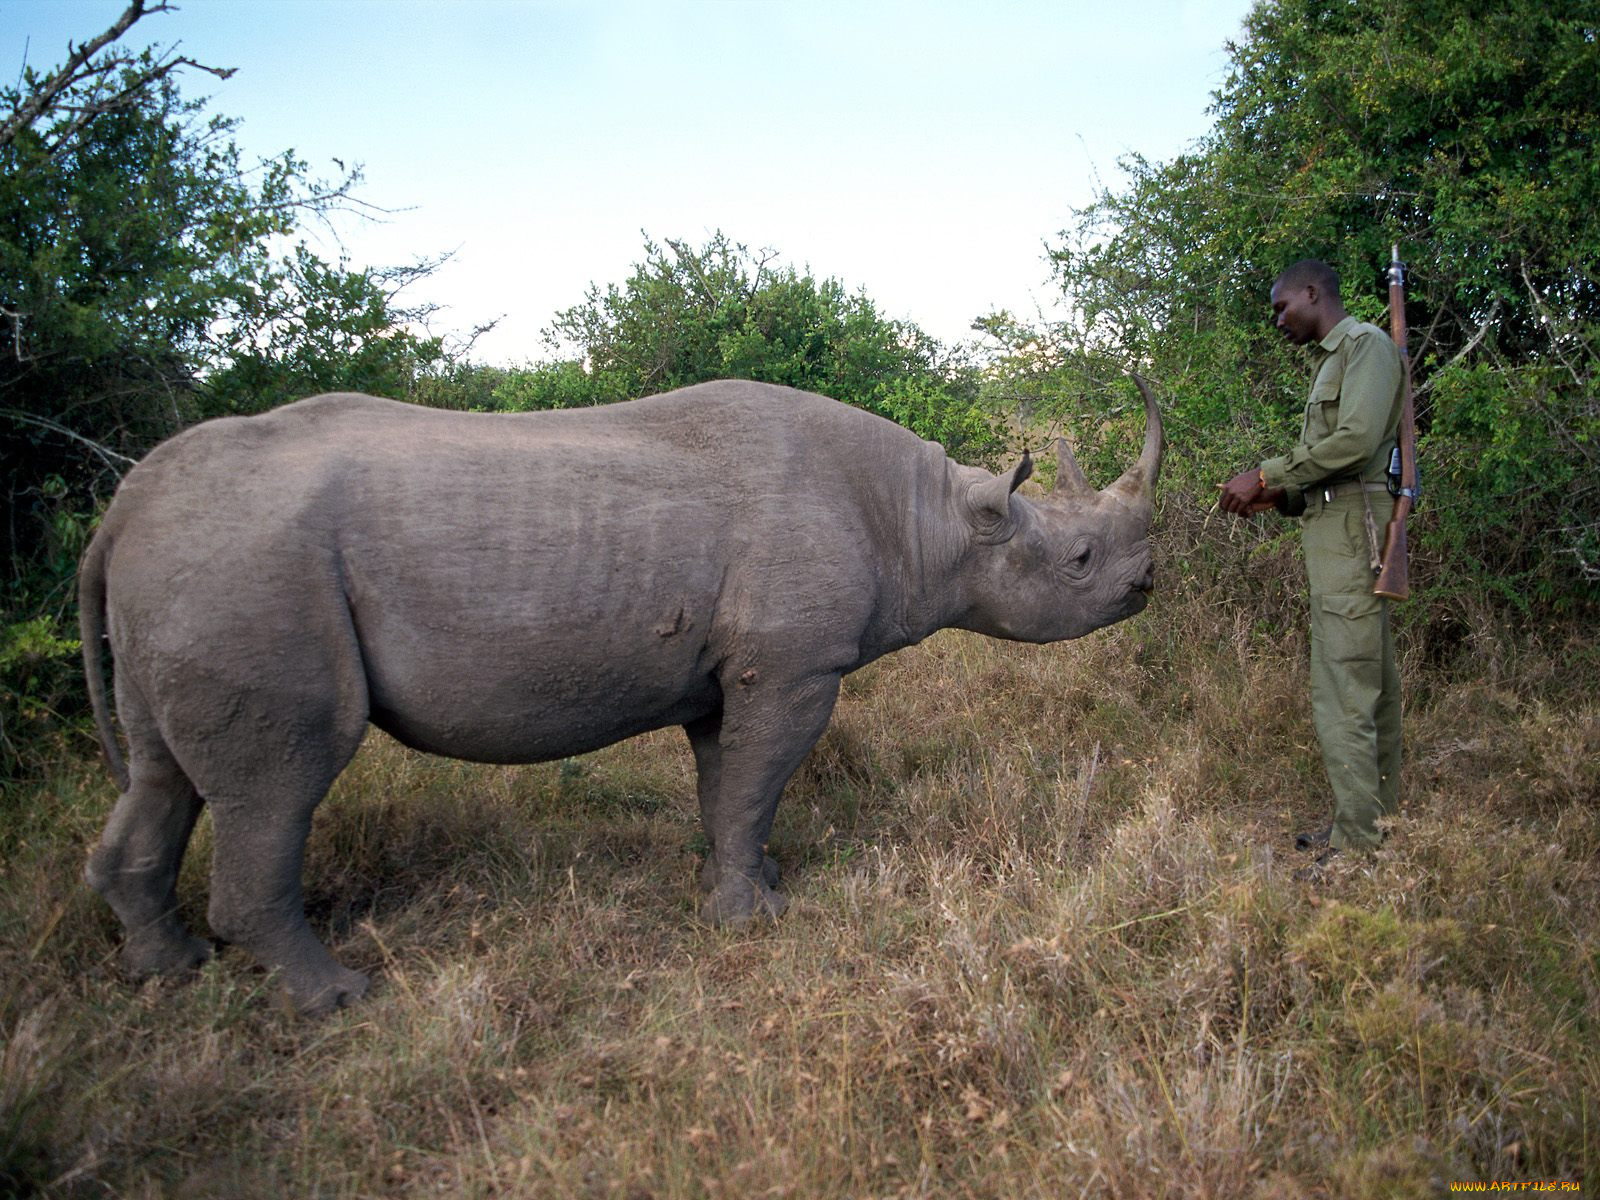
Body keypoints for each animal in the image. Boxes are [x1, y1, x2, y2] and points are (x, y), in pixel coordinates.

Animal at [80, 378, 1162, 1014]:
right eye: (1078, 560)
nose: (1146, 586)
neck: (931, 519)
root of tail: (122, 509)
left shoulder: (737, 671)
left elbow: (730, 789)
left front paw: (744, 887)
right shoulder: (794, 665)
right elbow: (758, 781)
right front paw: (753, 921)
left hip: (193, 565)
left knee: (161, 773)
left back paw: (168, 970)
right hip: (251, 571)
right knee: (283, 780)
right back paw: (340, 997)